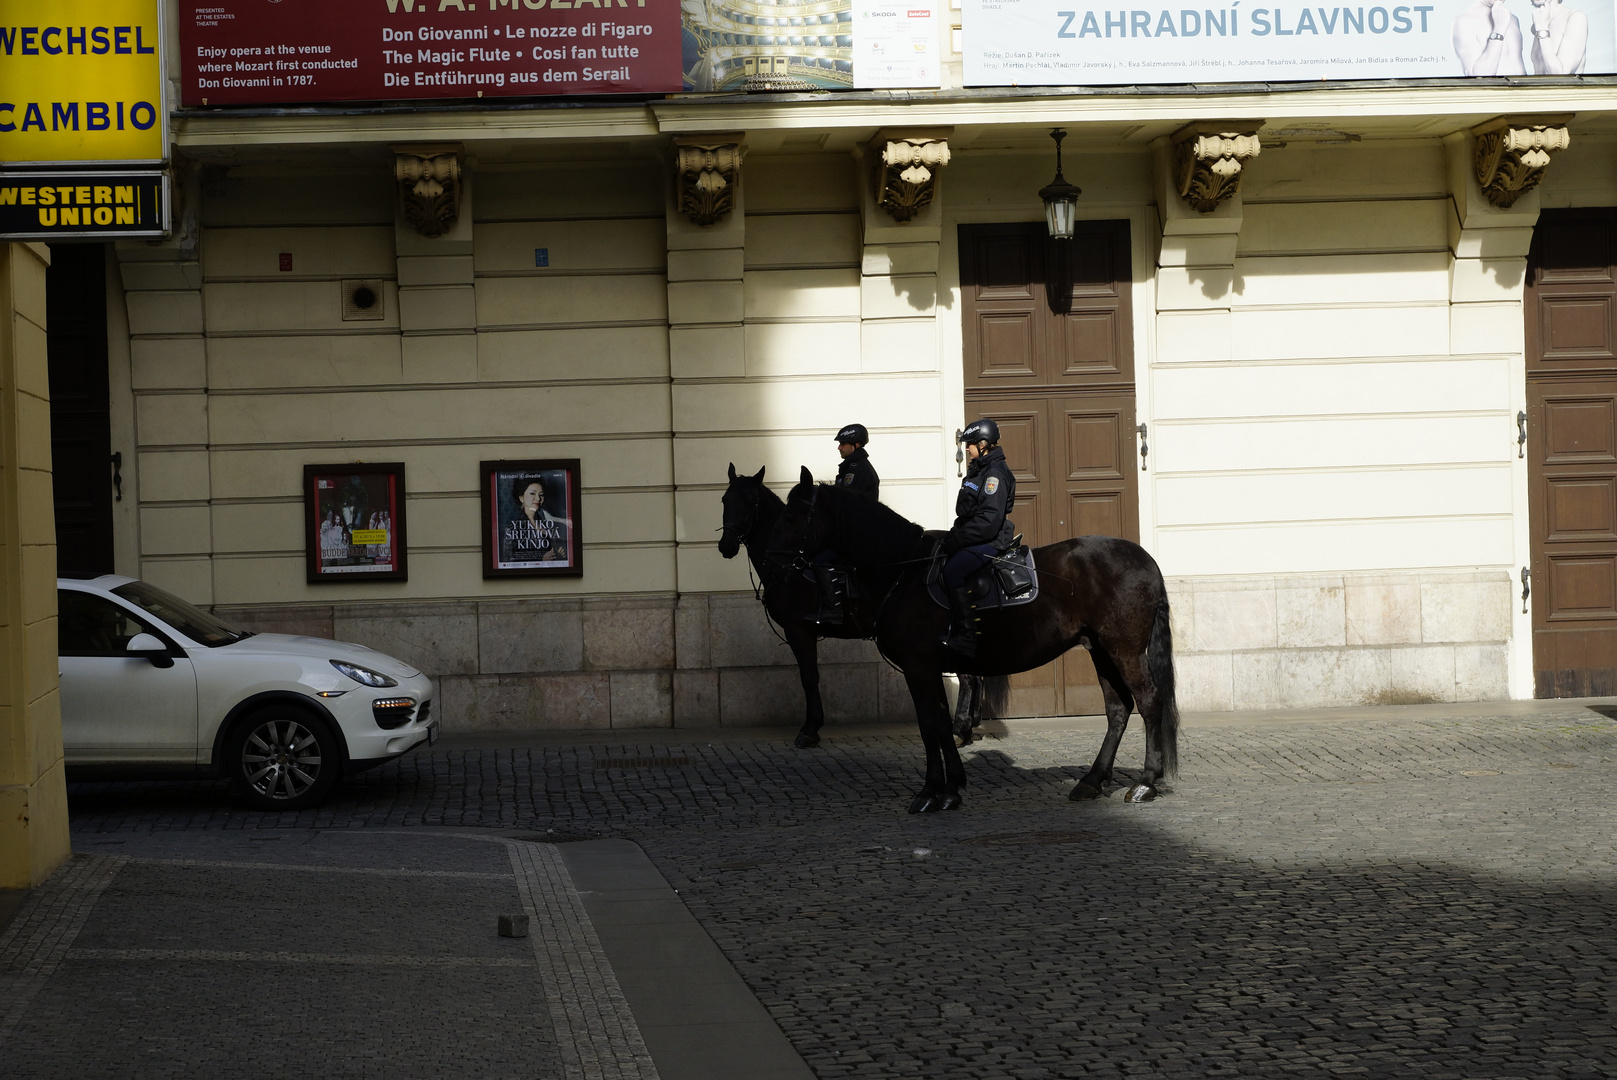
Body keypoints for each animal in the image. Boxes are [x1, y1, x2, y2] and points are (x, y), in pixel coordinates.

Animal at [721, 465, 996, 750]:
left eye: (750, 501)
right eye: (725, 500)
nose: (725, 546)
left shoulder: (798, 630)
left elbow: (809, 677)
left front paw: (810, 729)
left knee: (968, 677)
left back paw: (960, 727)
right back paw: (970, 723)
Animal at [769, 468, 1177, 814]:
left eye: (791, 516)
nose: (777, 566)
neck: (903, 573)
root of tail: (1144, 558)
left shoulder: (918, 667)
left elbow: (930, 725)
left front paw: (930, 791)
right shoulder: (929, 668)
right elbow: (937, 723)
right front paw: (950, 789)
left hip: (1124, 649)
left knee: (1149, 701)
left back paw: (1145, 781)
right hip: (1101, 649)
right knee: (1118, 709)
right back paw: (1091, 781)